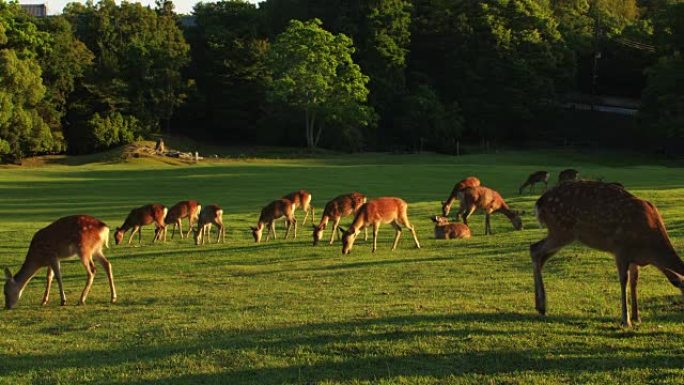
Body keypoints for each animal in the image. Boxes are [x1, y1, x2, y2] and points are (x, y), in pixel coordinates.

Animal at [532, 182, 684, 326]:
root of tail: (539, 203)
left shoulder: (634, 258)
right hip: (562, 230)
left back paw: (540, 306)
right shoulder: (621, 249)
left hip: (562, 234)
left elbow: (634, 281)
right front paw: (626, 320)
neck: (650, 249)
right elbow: (624, 280)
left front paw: (637, 317)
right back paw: (542, 306)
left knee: (541, 256)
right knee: (535, 249)